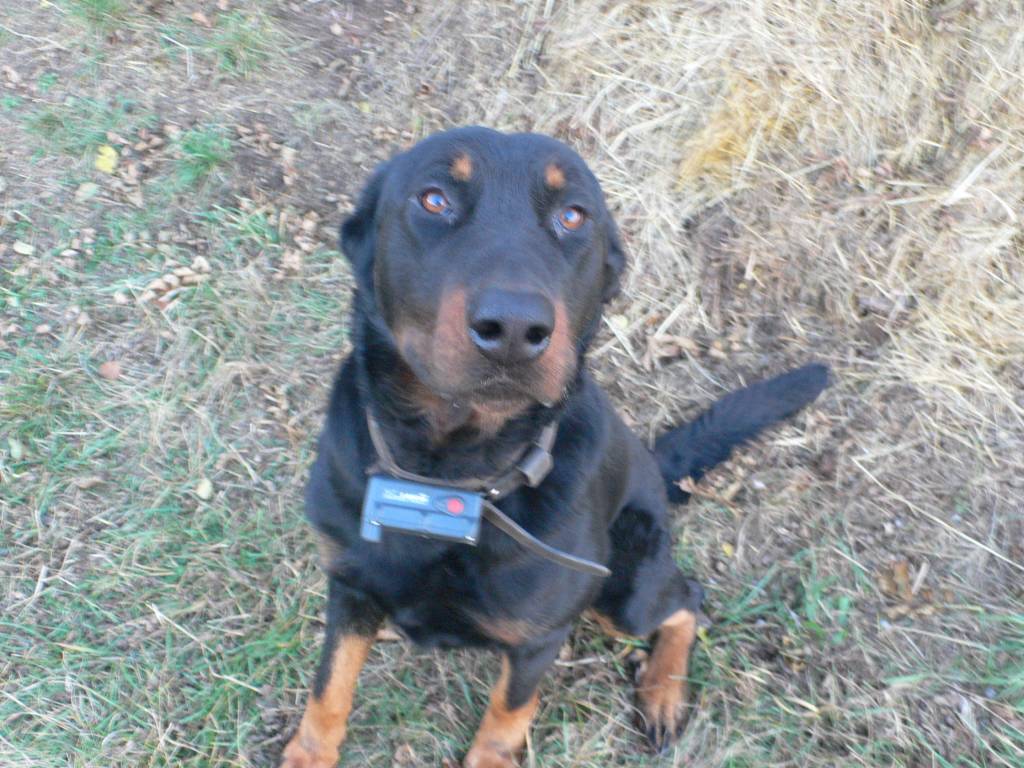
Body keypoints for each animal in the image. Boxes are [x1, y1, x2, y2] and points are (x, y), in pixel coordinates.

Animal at [280, 126, 828, 768]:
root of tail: (651, 461)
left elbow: (506, 714)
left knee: (685, 600)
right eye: (434, 199)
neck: (448, 475)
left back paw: (663, 693)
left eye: (573, 216)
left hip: (623, 592)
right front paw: (308, 752)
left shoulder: (538, 638)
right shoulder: (349, 588)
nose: (515, 329)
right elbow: (330, 687)